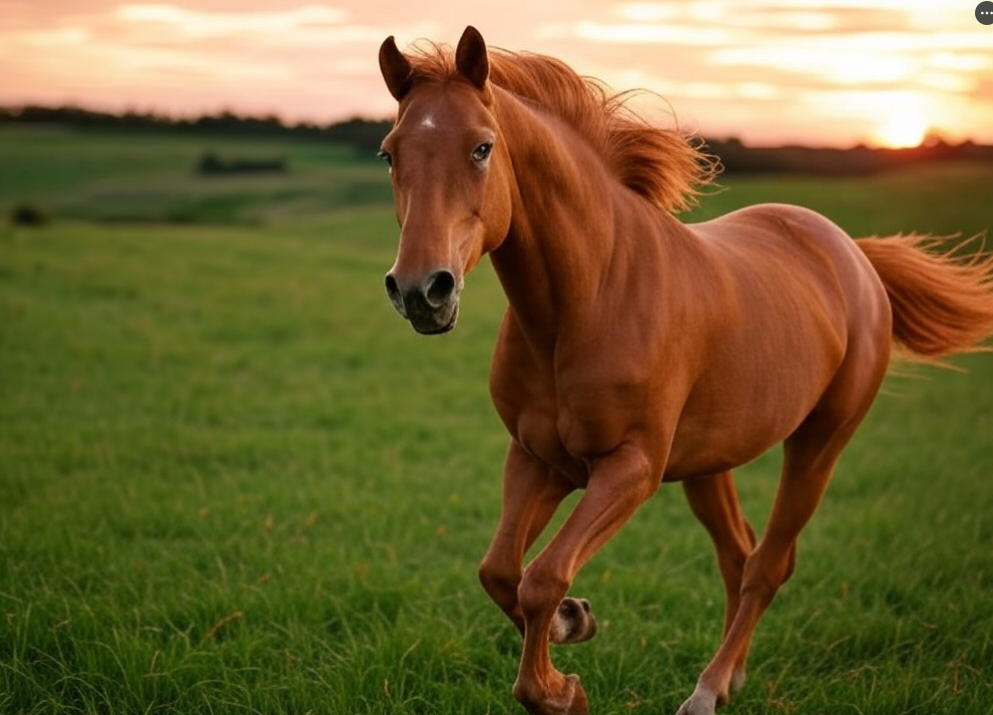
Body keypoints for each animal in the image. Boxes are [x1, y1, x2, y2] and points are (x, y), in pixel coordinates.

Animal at [375, 26, 993, 715]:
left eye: (482, 147)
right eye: (389, 154)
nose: (421, 290)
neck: (588, 298)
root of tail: (854, 255)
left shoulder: (631, 469)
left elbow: (542, 576)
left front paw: (560, 688)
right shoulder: (537, 459)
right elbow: (501, 571)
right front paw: (574, 623)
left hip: (818, 445)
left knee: (768, 563)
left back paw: (708, 688)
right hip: (709, 463)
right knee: (737, 554)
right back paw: (732, 677)